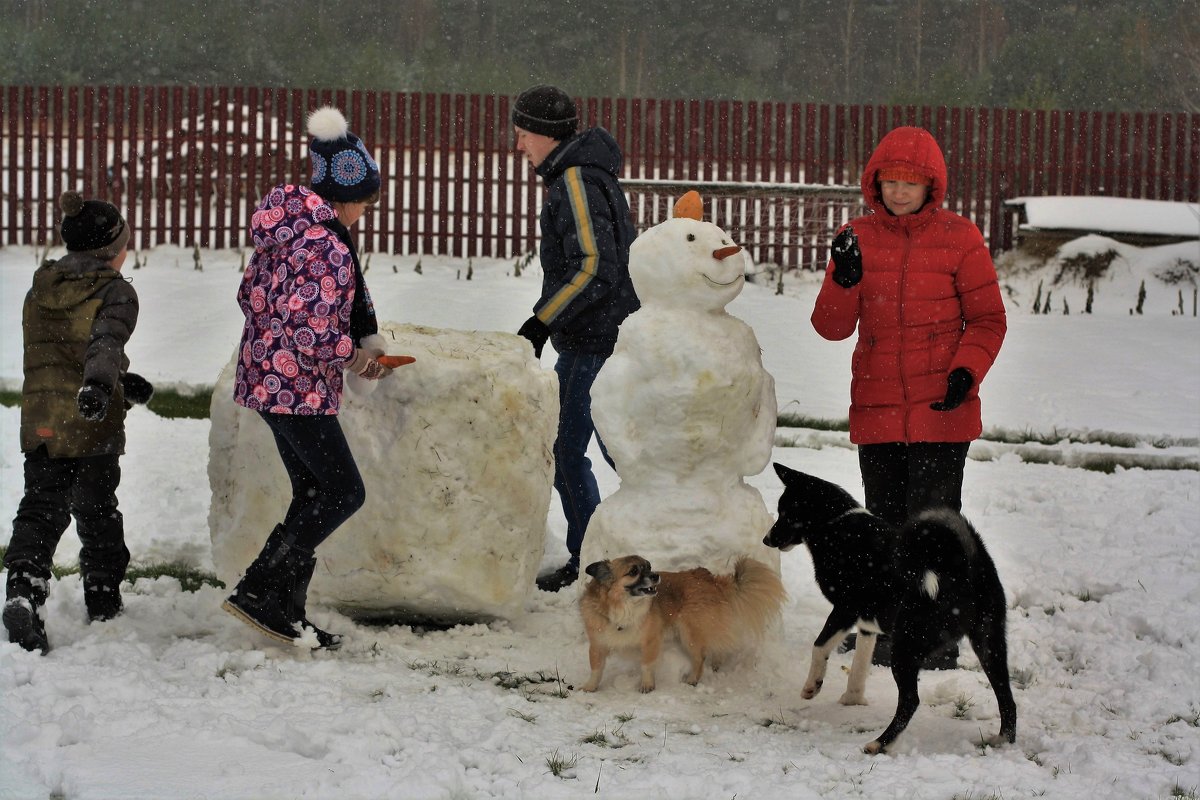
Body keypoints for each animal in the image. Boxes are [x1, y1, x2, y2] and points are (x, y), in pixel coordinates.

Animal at [580, 556, 787, 695]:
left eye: (649, 567)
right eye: (633, 571)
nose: (655, 576)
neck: (624, 609)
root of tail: (709, 578)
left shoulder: (650, 641)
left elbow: (646, 664)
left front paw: (647, 685)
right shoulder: (597, 644)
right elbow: (596, 668)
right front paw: (590, 686)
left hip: (689, 633)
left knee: (700, 657)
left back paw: (693, 679)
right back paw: (717, 663)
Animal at [763, 460, 1017, 753]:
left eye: (785, 513)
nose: (766, 540)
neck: (836, 524)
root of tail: (964, 566)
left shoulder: (845, 610)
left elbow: (819, 647)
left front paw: (812, 686)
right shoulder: (866, 622)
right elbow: (860, 663)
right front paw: (852, 698)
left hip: (905, 646)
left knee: (910, 701)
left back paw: (879, 743)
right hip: (989, 643)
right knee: (1007, 697)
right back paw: (1003, 741)